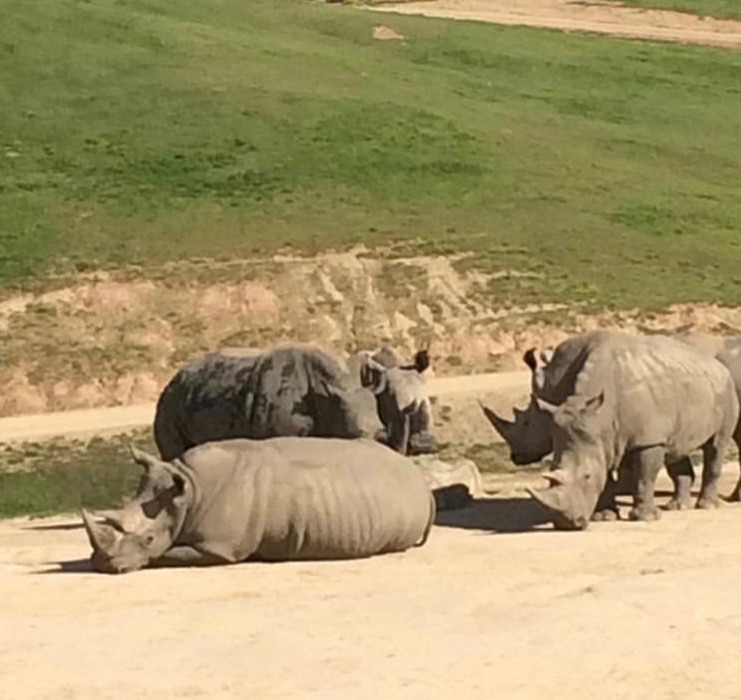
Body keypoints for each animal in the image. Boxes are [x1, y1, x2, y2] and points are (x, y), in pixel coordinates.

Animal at [81, 437, 436, 574]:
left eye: (148, 538)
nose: (103, 565)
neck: (189, 490)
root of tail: (420, 479)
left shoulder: (219, 548)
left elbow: (168, 554)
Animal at [481, 332, 741, 507]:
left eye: (526, 422)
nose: (515, 457)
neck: (555, 382)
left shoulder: (645, 429)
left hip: (728, 385)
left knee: (718, 443)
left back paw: (713, 503)